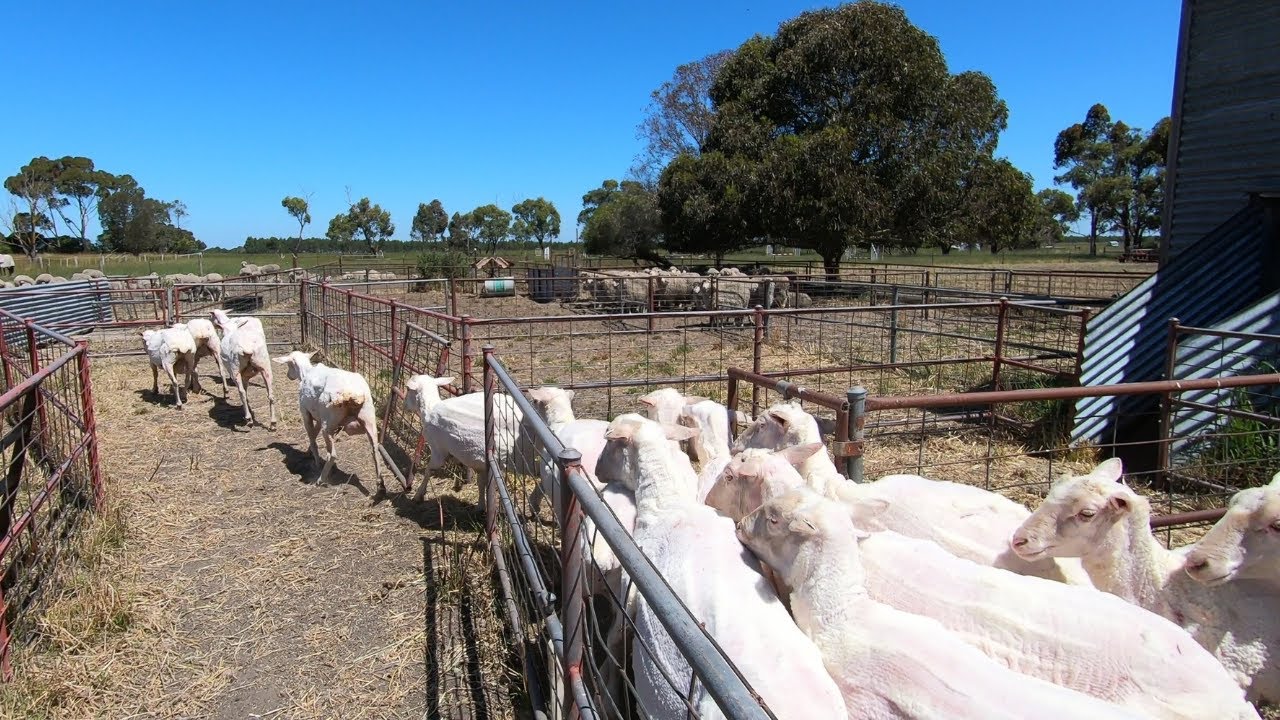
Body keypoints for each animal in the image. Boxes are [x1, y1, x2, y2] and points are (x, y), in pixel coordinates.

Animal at [273, 351, 383, 491]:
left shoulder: (305, 412)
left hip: (329, 423)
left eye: (289, 364)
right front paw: (309, 451)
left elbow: (312, 436)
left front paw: (316, 462)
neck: (306, 372)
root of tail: (352, 393)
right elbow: (314, 434)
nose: (288, 376)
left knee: (333, 454)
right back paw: (380, 485)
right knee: (375, 449)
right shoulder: (321, 419)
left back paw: (320, 480)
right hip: (369, 418)